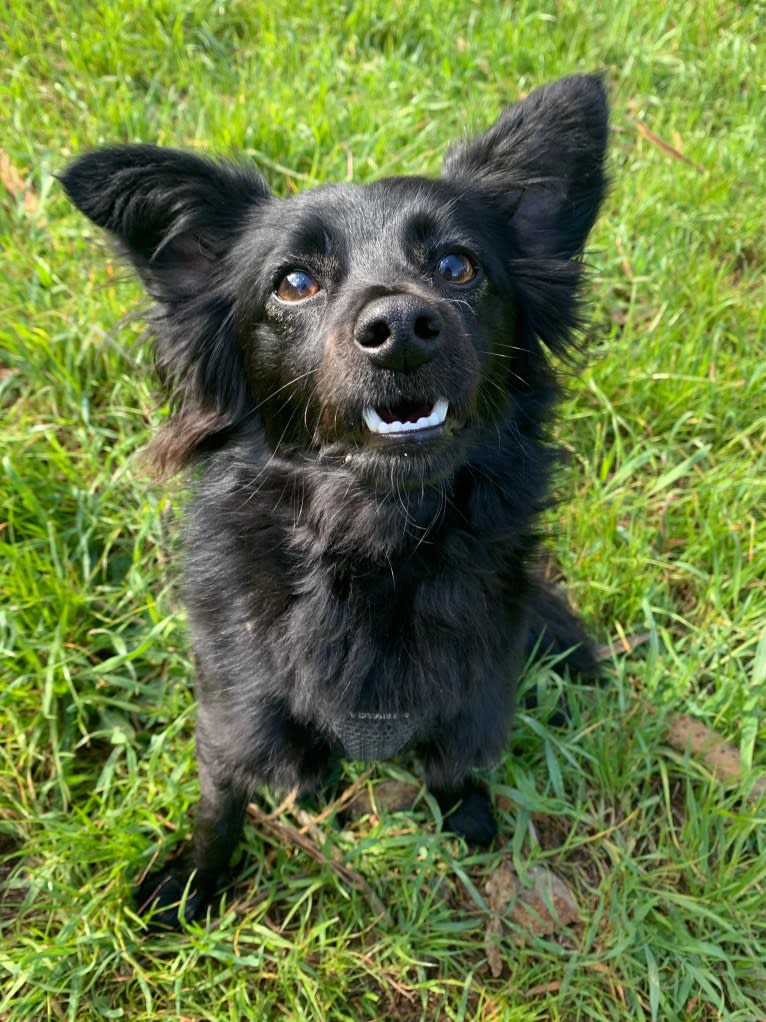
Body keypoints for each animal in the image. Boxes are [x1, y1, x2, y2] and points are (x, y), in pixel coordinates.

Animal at [60, 74, 608, 927]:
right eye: (294, 283)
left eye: (457, 266)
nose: (403, 327)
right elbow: (221, 799)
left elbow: (454, 765)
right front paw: (193, 882)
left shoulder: (472, 691)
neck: (376, 543)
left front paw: (468, 818)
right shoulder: (236, 708)